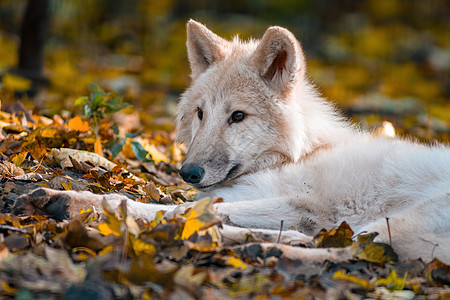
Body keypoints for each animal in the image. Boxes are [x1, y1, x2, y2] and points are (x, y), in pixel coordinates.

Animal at [14, 20, 450, 262]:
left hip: (390, 224)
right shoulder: (281, 204)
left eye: (237, 116)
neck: (300, 153)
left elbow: (167, 208)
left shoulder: (302, 201)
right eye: (200, 114)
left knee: (357, 253)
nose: (188, 173)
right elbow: (185, 208)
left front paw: (71, 200)